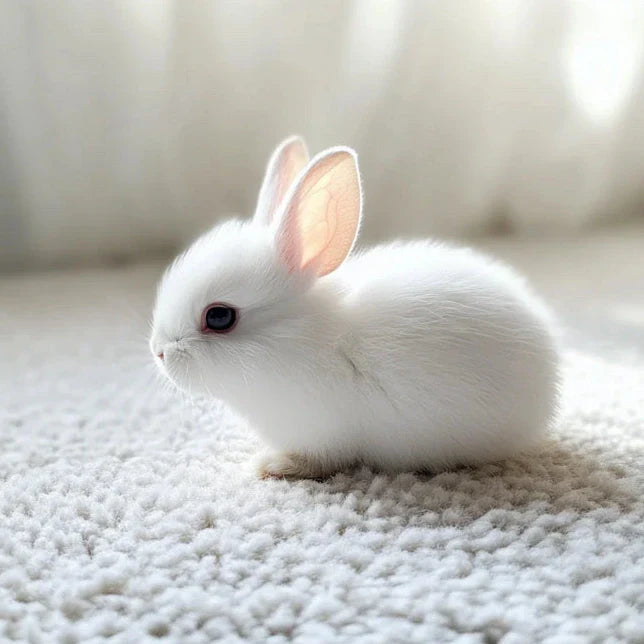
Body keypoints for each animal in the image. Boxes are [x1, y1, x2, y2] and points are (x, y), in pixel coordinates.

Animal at [150, 135, 560, 479]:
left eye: (219, 316)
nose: (158, 352)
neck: (300, 340)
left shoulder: (322, 435)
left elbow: (317, 461)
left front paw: (273, 466)